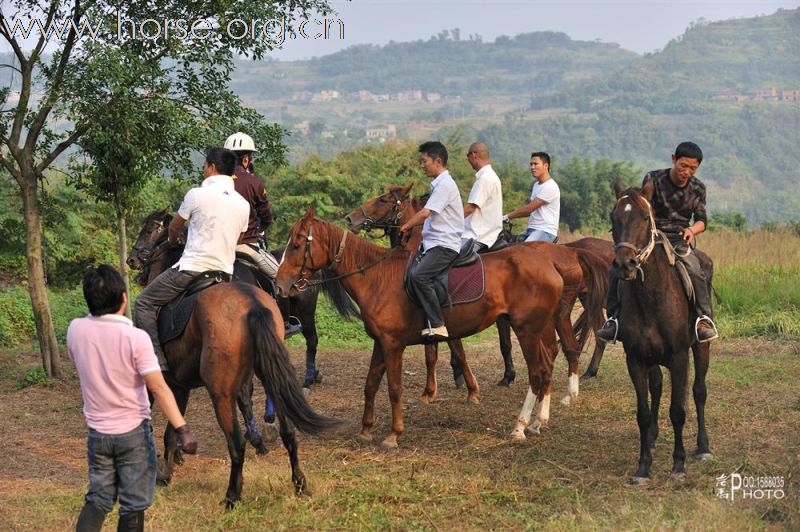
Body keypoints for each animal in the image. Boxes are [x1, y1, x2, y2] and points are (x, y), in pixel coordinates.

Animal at [126, 211, 340, 508]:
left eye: (149, 230)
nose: (132, 260)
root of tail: (252, 304)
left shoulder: (165, 383)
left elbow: (166, 429)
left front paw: (164, 473)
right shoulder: (180, 385)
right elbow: (174, 428)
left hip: (223, 390)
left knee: (237, 442)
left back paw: (232, 494)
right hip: (268, 373)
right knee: (288, 431)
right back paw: (297, 481)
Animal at [272, 206, 604, 446]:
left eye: (298, 244)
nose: (279, 285)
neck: (377, 277)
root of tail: (553, 260)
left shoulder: (393, 344)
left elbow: (394, 388)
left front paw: (393, 434)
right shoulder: (380, 342)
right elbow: (371, 384)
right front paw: (366, 430)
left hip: (527, 330)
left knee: (537, 373)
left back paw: (520, 427)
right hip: (540, 328)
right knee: (548, 367)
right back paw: (537, 422)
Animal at [344, 185, 612, 406]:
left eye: (383, 199)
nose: (350, 218)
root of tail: (572, 252)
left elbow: (450, 350)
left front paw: (449, 388)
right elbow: (447, 349)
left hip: (562, 311)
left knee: (577, 343)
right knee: (573, 344)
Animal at [608, 178, 716, 482]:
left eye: (645, 217)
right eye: (613, 218)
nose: (625, 264)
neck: (652, 297)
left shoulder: (679, 358)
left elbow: (678, 410)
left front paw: (678, 464)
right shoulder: (635, 358)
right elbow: (643, 413)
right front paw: (644, 466)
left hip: (701, 347)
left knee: (699, 391)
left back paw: (703, 447)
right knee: (656, 388)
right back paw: (653, 438)